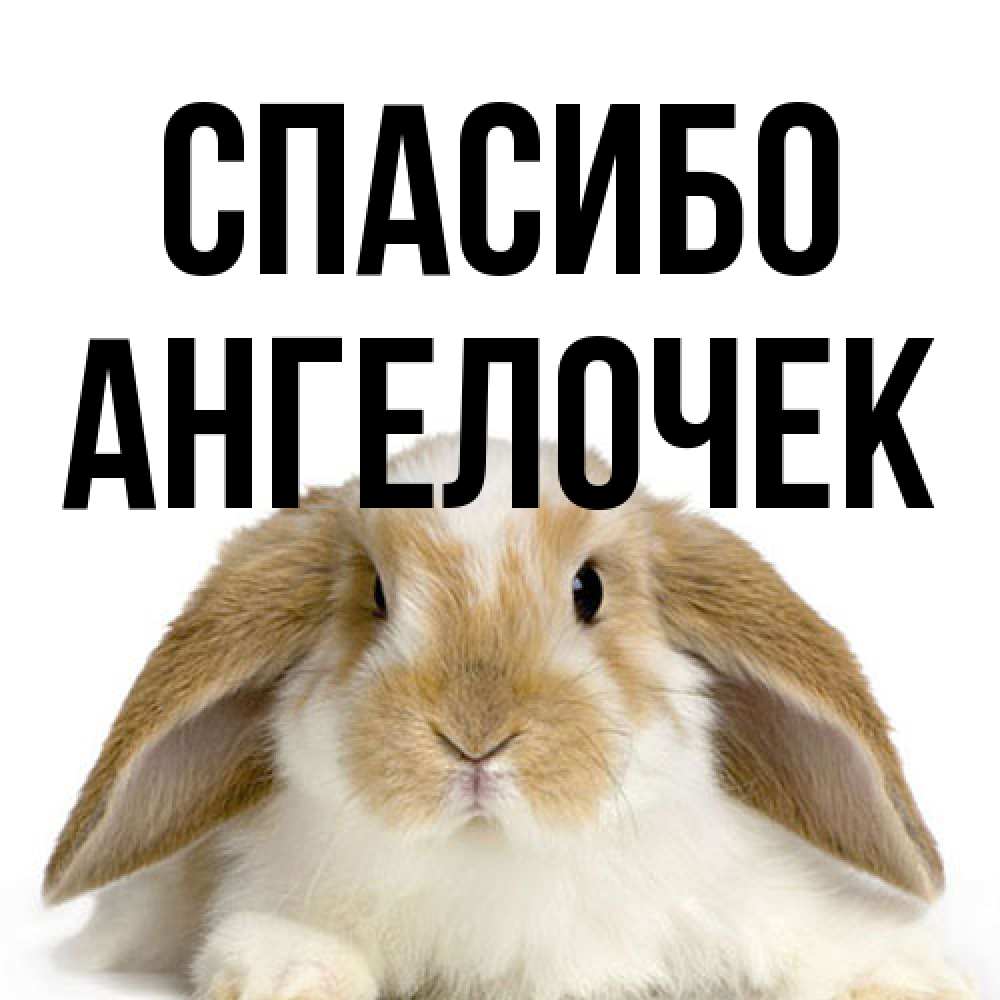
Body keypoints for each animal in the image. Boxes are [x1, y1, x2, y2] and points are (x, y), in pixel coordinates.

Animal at [45, 435, 975, 1000]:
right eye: (376, 596)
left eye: (589, 589)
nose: (475, 737)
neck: (494, 857)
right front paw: (291, 977)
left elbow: (817, 939)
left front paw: (909, 978)